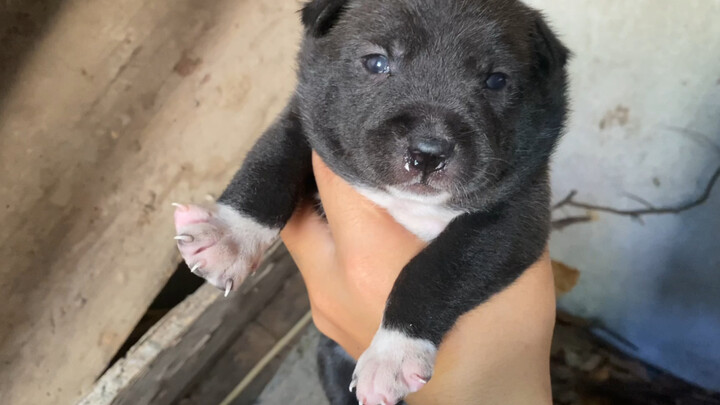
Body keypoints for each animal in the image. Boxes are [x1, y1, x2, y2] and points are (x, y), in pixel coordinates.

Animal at [173, 1, 568, 402]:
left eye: (496, 81)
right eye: (377, 62)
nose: (428, 153)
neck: (408, 202)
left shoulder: (514, 218)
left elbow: (435, 268)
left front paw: (393, 353)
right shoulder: (304, 120)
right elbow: (272, 159)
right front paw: (230, 234)